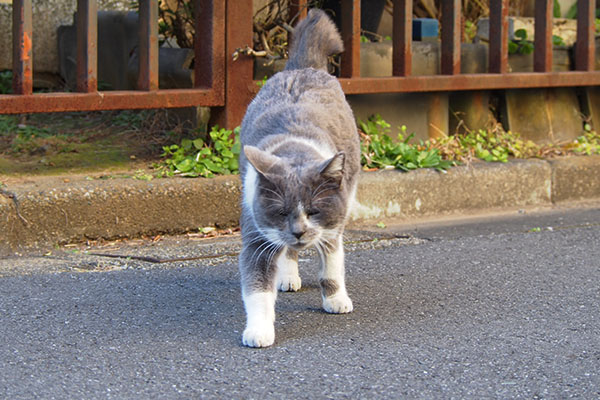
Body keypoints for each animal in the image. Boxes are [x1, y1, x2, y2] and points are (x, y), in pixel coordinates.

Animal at [239, 8, 360, 346]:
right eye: (281, 213)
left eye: (315, 210)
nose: (299, 231)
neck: (294, 150)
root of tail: (302, 67)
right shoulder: (256, 237)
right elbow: (257, 290)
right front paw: (259, 331)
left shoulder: (332, 226)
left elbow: (332, 267)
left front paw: (336, 299)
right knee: (287, 254)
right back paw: (289, 276)